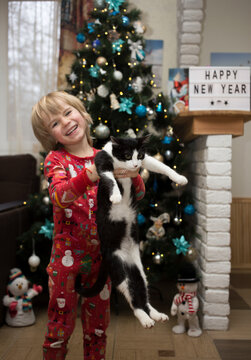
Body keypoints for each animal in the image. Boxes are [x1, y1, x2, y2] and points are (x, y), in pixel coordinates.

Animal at [75, 136, 187, 328]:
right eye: (127, 155)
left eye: (139, 155)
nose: (135, 165)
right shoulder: (103, 161)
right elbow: (109, 178)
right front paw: (116, 196)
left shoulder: (145, 160)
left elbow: (160, 165)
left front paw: (179, 178)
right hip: (119, 269)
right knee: (132, 298)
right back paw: (145, 319)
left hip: (138, 270)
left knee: (141, 292)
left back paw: (156, 315)